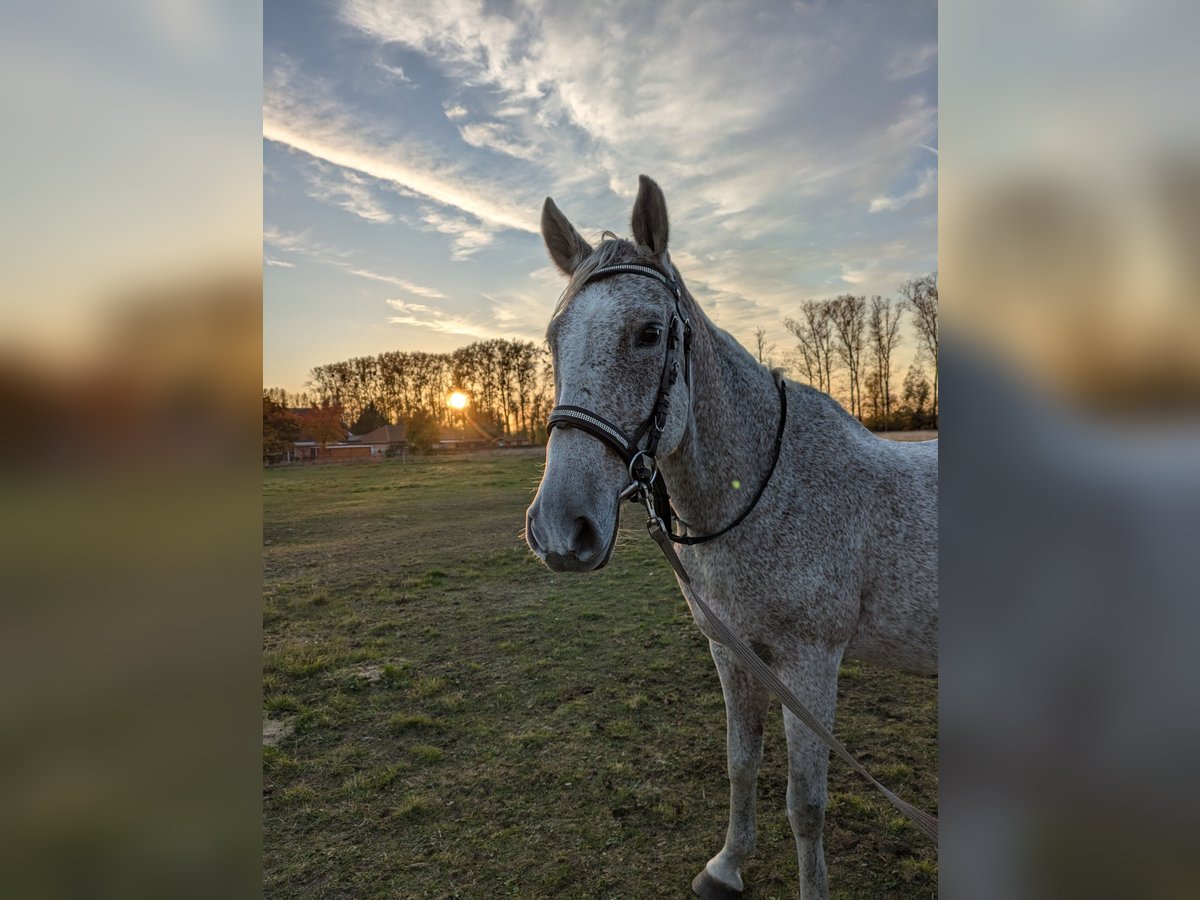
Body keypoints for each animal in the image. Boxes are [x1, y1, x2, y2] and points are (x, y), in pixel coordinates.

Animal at [525, 177, 936, 900]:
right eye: (553, 340)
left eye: (649, 333)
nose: (559, 529)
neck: (768, 489)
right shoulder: (735, 654)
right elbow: (741, 763)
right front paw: (726, 865)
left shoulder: (809, 662)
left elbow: (806, 804)